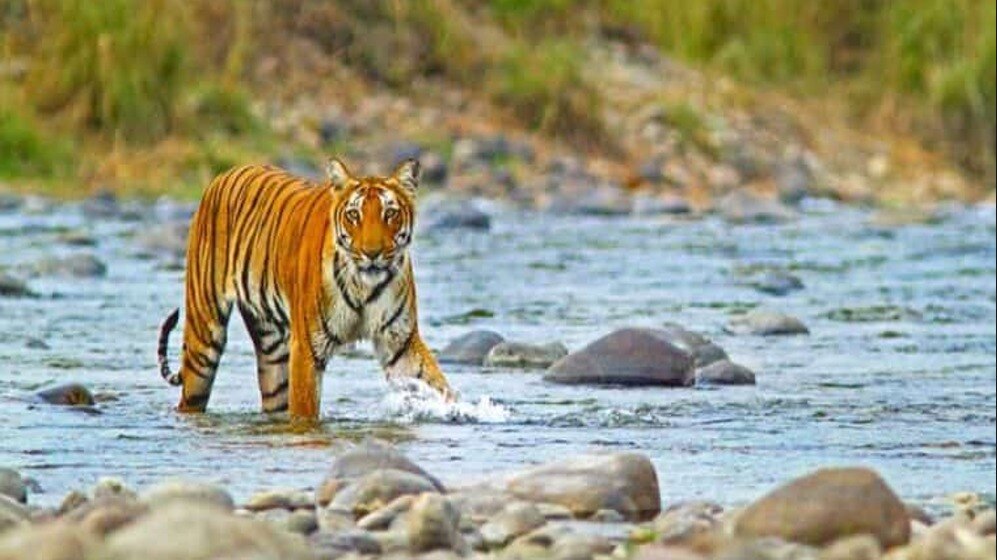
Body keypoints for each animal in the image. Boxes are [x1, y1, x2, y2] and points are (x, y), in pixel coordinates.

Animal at [156, 158, 456, 420]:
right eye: (354, 215)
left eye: (390, 213)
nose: (372, 254)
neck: (364, 286)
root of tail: (223, 174)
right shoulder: (307, 349)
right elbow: (305, 411)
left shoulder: (400, 341)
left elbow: (435, 383)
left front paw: (458, 411)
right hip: (204, 338)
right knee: (191, 395)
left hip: (272, 350)